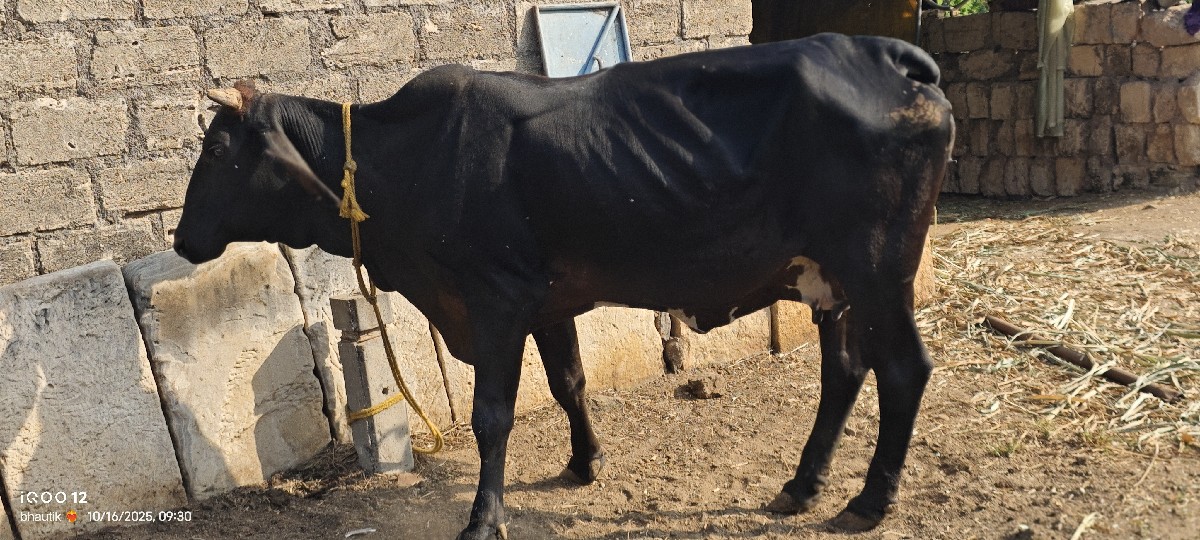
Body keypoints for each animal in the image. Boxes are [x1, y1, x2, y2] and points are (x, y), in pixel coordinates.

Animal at [173, 33, 953, 539]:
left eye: (218, 148)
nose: (181, 240)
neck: (408, 159)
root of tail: (884, 54)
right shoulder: (546, 302)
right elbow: (569, 383)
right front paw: (585, 462)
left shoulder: (493, 303)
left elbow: (493, 415)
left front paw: (484, 518)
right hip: (833, 284)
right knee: (845, 371)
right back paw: (801, 486)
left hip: (879, 272)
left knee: (904, 370)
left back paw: (869, 501)